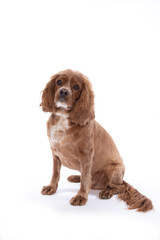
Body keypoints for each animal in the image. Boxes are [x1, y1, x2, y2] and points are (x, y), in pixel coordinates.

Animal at [40, 69, 152, 212]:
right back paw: (76, 177)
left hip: (113, 170)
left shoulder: (86, 156)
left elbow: (85, 180)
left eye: (76, 86)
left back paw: (107, 191)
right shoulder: (55, 152)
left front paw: (81, 197)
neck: (63, 118)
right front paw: (51, 187)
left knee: (119, 187)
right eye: (59, 82)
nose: (64, 92)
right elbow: (55, 173)